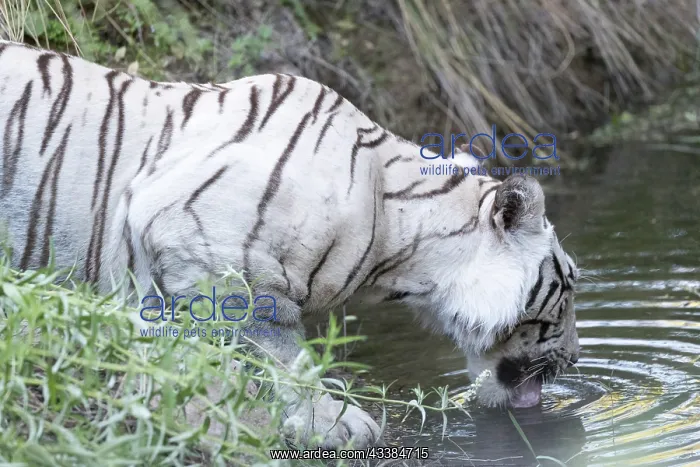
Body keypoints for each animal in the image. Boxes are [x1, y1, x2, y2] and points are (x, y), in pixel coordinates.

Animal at [0, 39, 580, 449]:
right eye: (568, 288)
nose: (575, 360)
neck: (397, 242)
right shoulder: (196, 236)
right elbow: (279, 355)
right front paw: (338, 423)